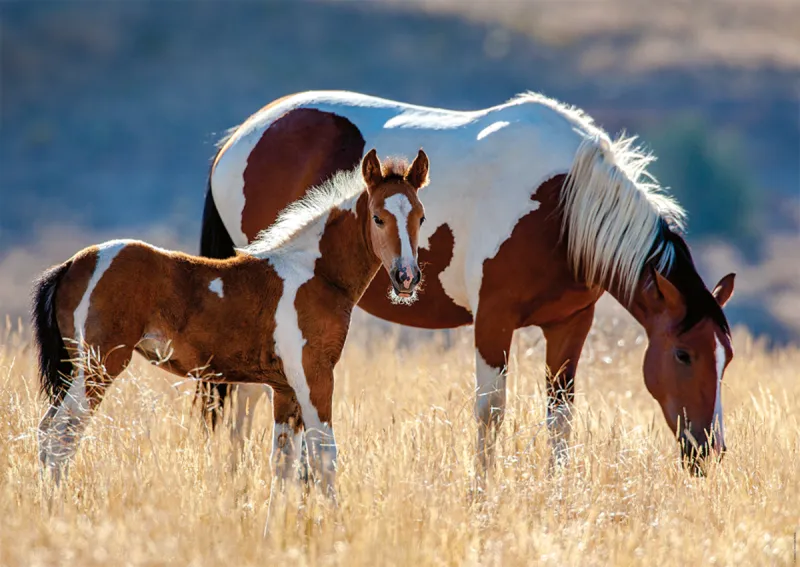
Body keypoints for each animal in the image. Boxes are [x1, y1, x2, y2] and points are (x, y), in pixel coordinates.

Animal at [33, 148, 430, 494]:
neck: (316, 273)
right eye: (378, 217)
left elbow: (283, 465)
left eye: (421, 217)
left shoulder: (284, 389)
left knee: (47, 432)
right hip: (99, 367)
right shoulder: (314, 376)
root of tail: (72, 265)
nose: (407, 277)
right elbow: (323, 459)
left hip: (77, 370)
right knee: (61, 437)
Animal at [197, 90, 736, 474]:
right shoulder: (493, 322)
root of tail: (236, 141)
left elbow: (560, 418)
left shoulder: (570, 326)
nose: (707, 450)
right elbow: (491, 414)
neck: (563, 207)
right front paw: (483, 496)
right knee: (245, 395)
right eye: (683, 354)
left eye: (725, 358)